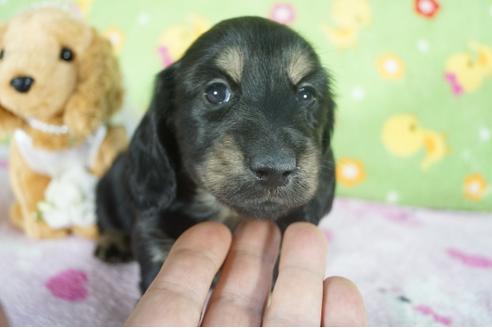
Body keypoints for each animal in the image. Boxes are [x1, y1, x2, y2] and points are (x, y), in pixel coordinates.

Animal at [94, 17, 336, 292]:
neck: (227, 214)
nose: (275, 169)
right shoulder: (153, 240)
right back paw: (112, 242)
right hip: (106, 189)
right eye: (217, 92)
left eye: (306, 94)